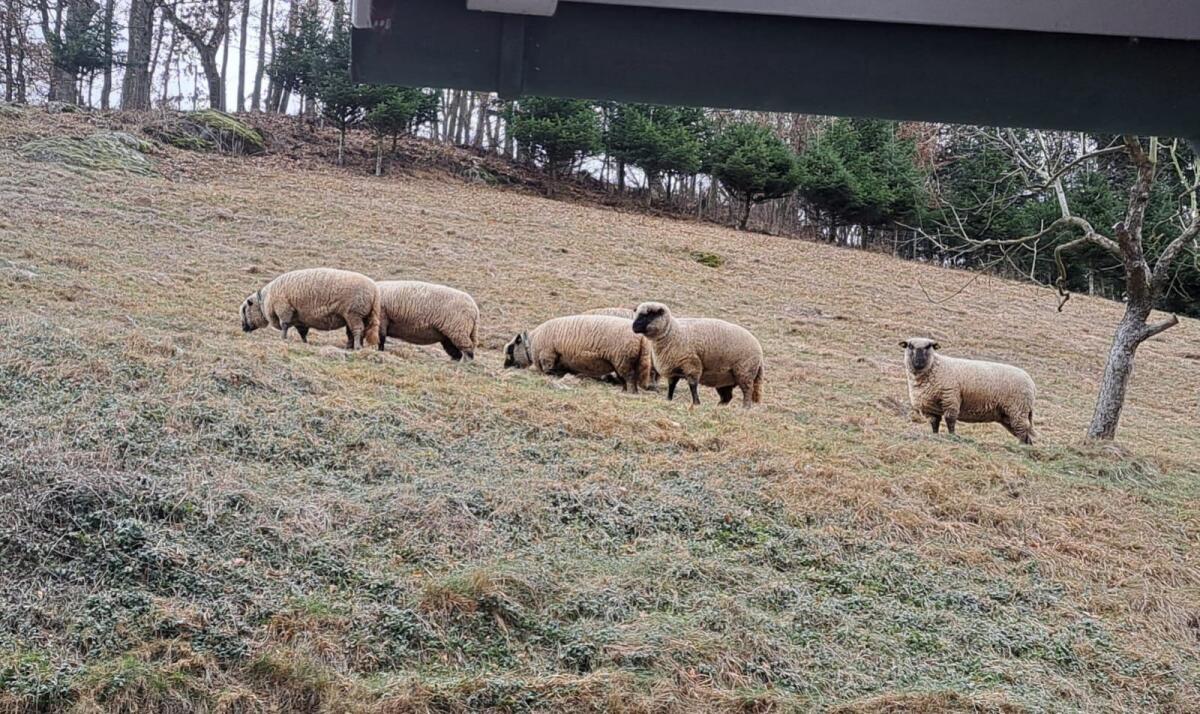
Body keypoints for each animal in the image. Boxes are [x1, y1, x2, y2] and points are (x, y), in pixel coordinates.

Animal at [240, 268, 380, 349]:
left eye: (244, 310)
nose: (243, 329)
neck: (264, 300)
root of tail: (374, 291)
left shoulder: (284, 309)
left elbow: (284, 325)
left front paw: (283, 339)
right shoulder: (299, 319)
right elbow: (302, 332)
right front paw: (305, 342)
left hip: (354, 313)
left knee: (357, 330)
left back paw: (357, 347)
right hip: (359, 315)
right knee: (356, 331)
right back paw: (352, 346)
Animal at [503, 315, 653, 392]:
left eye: (511, 349)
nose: (505, 367)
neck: (532, 343)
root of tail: (642, 339)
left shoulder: (548, 355)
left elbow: (548, 370)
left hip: (623, 359)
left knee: (629, 378)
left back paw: (629, 393)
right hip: (623, 362)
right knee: (625, 379)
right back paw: (624, 391)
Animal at [632, 302, 764, 408]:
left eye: (649, 315)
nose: (633, 327)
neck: (672, 332)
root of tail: (759, 349)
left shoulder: (691, 365)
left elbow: (692, 385)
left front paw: (696, 403)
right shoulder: (674, 368)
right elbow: (671, 385)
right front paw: (668, 399)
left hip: (744, 371)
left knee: (747, 391)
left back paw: (745, 407)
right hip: (725, 378)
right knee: (727, 397)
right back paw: (719, 407)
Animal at [900, 337, 1037, 444]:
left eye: (929, 346)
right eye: (910, 346)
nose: (918, 361)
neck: (935, 366)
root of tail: (1031, 382)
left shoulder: (950, 398)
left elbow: (950, 420)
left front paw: (952, 436)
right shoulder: (930, 407)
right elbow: (934, 423)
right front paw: (935, 436)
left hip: (1018, 408)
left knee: (1022, 430)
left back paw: (1021, 448)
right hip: (1007, 414)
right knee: (1024, 434)